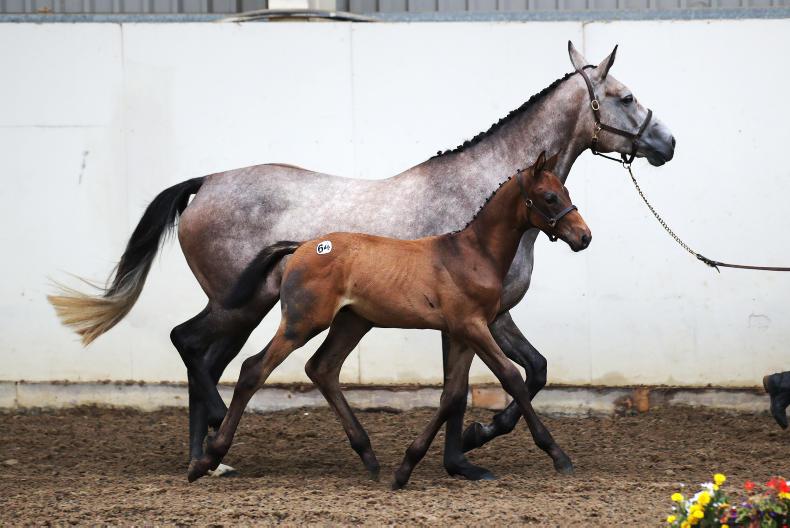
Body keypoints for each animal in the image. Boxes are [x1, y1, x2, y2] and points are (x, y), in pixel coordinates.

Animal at [187, 152, 591, 487]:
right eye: (550, 197)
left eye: (565, 190)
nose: (584, 236)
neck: (471, 254)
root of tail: (302, 246)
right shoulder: (473, 327)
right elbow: (512, 379)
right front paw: (558, 455)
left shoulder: (462, 333)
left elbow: (452, 394)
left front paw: (408, 466)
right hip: (302, 323)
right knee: (253, 370)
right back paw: (207, 459)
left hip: (352, 322)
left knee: (322, 368)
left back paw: (369, 457)